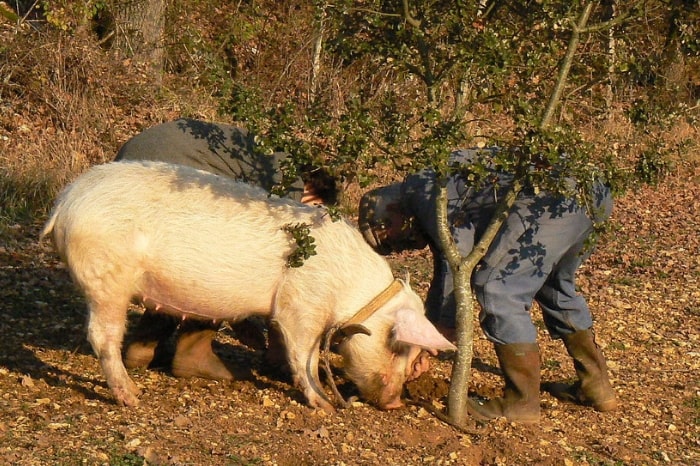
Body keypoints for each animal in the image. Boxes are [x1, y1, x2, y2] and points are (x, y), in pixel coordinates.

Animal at [42, 161, 454, 412]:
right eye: (396, 344)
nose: (396, 402)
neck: (350, 291)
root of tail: (65, 201)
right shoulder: (301, 304)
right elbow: (303, 354)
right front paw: (323, 405)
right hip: (106, 278)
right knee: (101, 335)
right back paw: (133, 397)